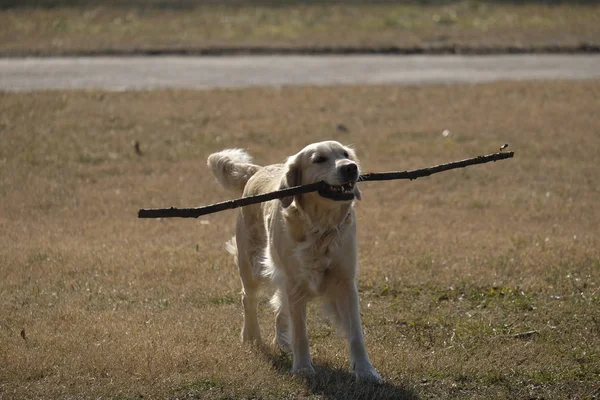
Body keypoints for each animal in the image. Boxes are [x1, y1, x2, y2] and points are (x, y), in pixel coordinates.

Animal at [209, 140, 382, 382]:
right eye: (320, 159)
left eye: (346, 154)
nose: (351, 168)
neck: (321, 228)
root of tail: (258, 170)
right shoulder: (296, 284)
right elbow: (300, 331)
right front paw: (302, 368)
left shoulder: (345, 282)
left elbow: (356, 333)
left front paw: (366, 370)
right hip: (253, 265)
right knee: (248, 298)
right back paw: (252, 336)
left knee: (278, 306)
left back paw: (282, 342)